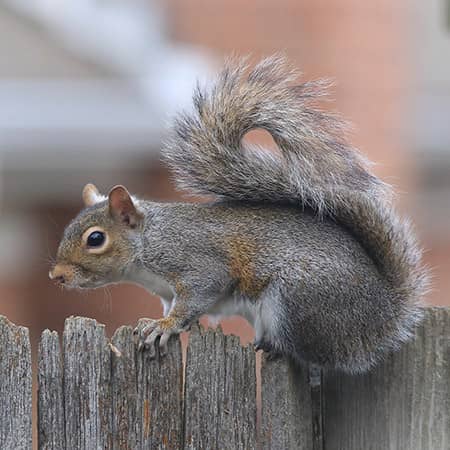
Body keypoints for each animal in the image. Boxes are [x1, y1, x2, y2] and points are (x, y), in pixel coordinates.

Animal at [49, 55, 428, 372]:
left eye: (95, 239)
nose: (57, 276)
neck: (148, 242)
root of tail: (382, 315)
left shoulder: (196, 262)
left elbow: (200, 292)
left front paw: (165, 327)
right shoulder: (166, 292)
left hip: (297, 299)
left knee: (315, 355)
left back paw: (280, 348)